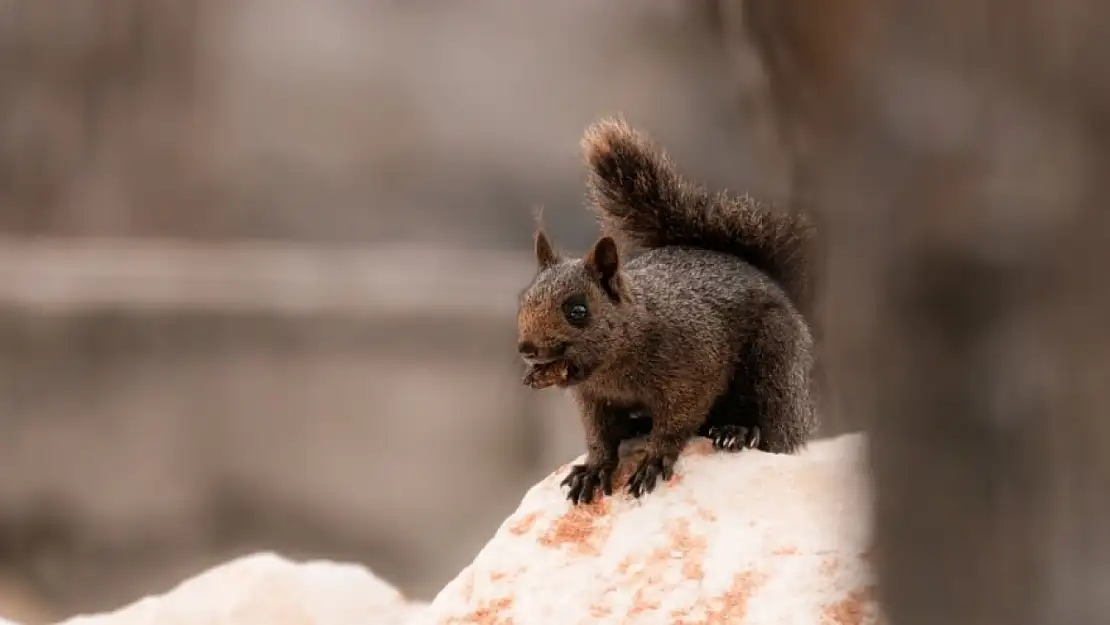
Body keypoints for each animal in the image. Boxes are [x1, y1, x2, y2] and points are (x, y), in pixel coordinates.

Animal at [515, 117, 821, 506]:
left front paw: (654, 461)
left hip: (774, 360)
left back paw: (737, 430)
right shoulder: (594, 399)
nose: (527, 349)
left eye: (578, 310)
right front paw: (594, 469)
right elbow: (599, 436)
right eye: (525, 299)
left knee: (775, 430)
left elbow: (676, 423)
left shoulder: (695, 370)